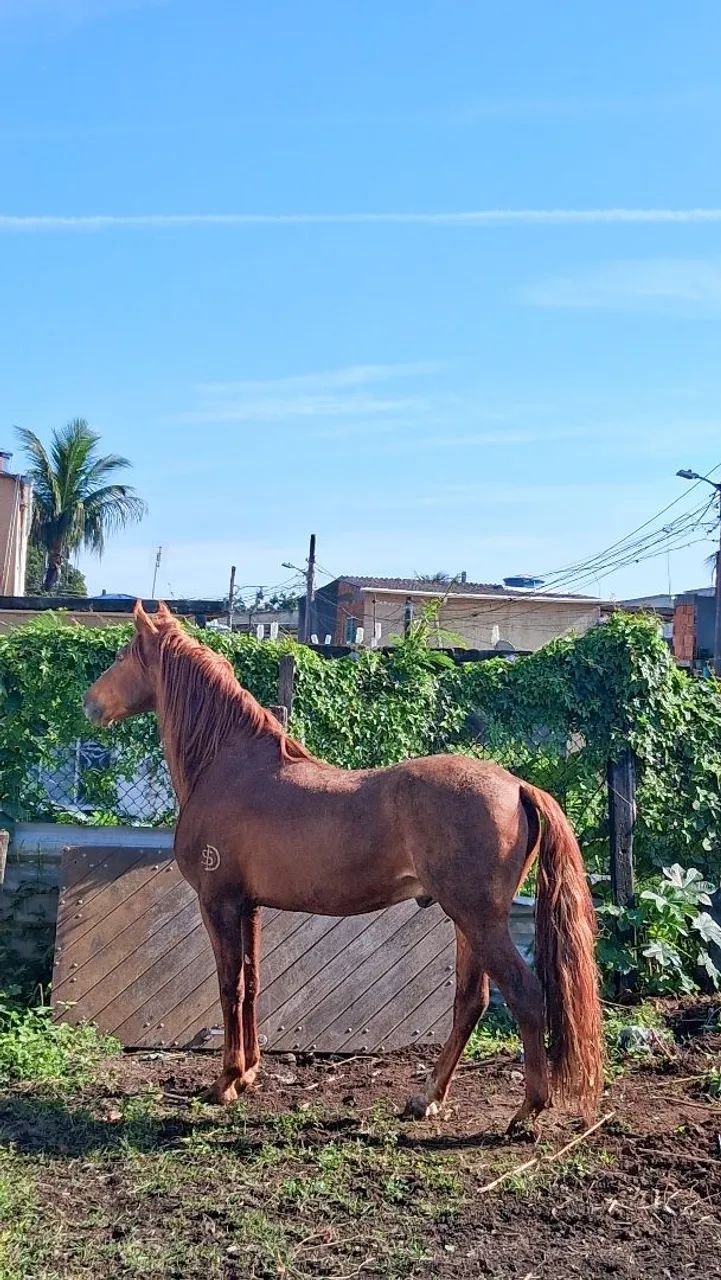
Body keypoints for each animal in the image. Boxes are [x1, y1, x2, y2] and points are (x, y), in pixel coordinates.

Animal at [84, 601, 603, 1132]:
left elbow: (230, 986)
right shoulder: (249, 906)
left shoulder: (220, 903)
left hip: (480, 921)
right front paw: (248, 1074)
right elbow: (252, 983)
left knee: (525, 995)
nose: (89, 703)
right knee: (470, 1002)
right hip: (470, 923)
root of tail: (517, 785)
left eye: (123, 654)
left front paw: (225, 1082)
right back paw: (427, 1098)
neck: (227, 766)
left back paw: (528, 1109)